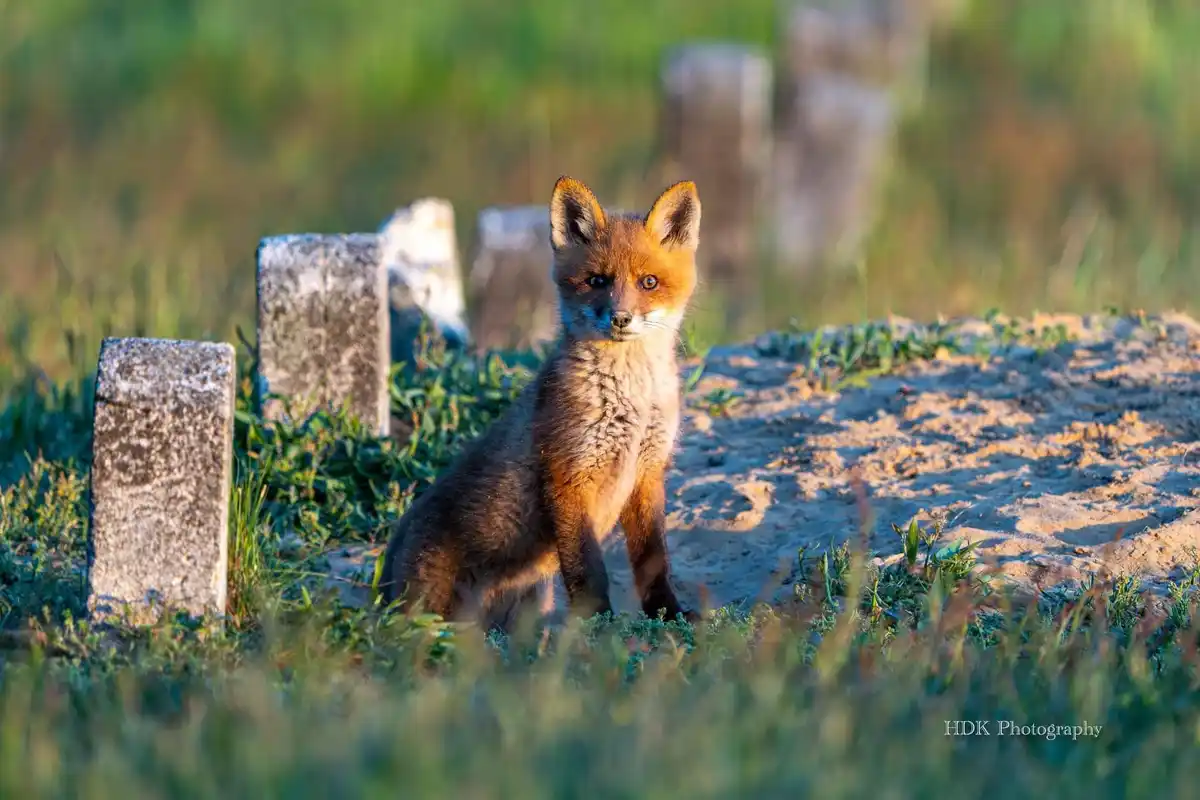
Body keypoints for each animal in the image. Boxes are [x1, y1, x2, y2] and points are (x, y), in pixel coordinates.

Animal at [379, 176, 702, 628]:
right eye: (597, 281)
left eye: (649, 282)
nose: (620, 318)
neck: (631, 406)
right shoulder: (568, 474)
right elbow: (587, 569)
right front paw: (600, 626)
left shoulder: (647, 474)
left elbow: (653, 562)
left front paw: (668, 615)